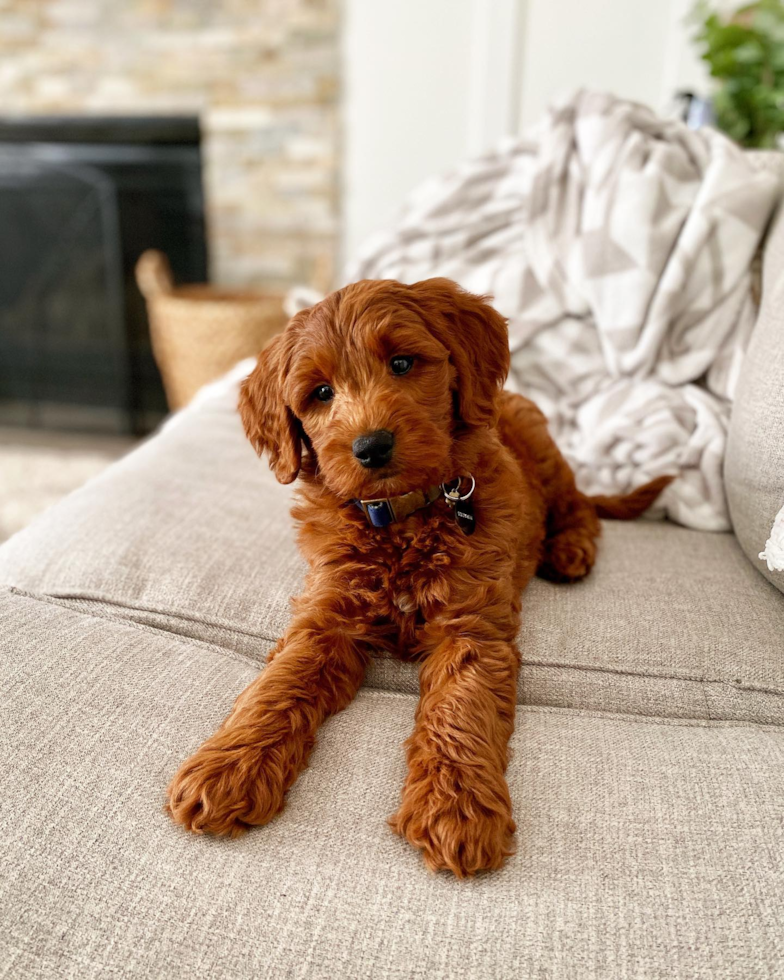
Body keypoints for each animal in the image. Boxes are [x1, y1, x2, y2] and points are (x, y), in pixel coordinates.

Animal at [168, 278, 672, 880]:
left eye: (403, 363)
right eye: (320, 393)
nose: (371, 446)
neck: (402, 518)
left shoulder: (471, 627)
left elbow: (460, 706)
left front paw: (456, 809)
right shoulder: (326, 612)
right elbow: (279, 684)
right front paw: (229, 767)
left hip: (542, 448)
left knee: (578, 505)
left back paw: (569, 549)